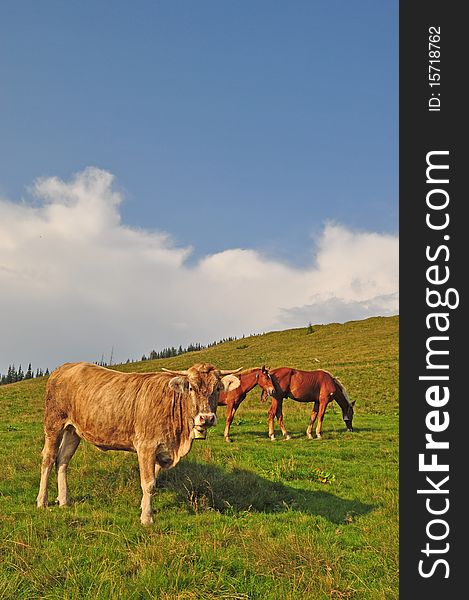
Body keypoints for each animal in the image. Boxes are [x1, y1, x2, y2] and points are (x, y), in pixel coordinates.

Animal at [36, 360, 239, 524]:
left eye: (218, 388)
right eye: (191, 388)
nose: (206, 418)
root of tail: (65, 367)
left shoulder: (161, 451)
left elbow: (153, 480)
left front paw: (143, 507)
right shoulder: (146, 447)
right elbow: (148, 483)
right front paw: (147, 518)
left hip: (73, 430)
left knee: (62, 460)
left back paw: (64, 500)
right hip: (54, 422)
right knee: (48, 458)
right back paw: (42, 501)